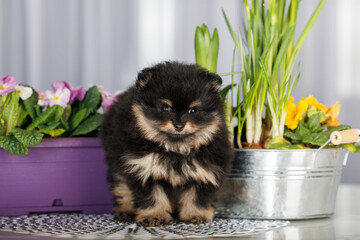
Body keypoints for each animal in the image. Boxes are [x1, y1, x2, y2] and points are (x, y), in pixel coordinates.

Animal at [100, 61, 233, 226]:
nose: (179, 125)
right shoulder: (143, 169)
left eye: (193, 110)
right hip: (116, 162)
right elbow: (152, 196)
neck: (175, 150)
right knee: (122, 185)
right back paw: (126, 211)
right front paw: (154, 216)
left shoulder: (207, 171)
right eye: (165, 108)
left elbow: (198, 197)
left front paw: (196, 215)